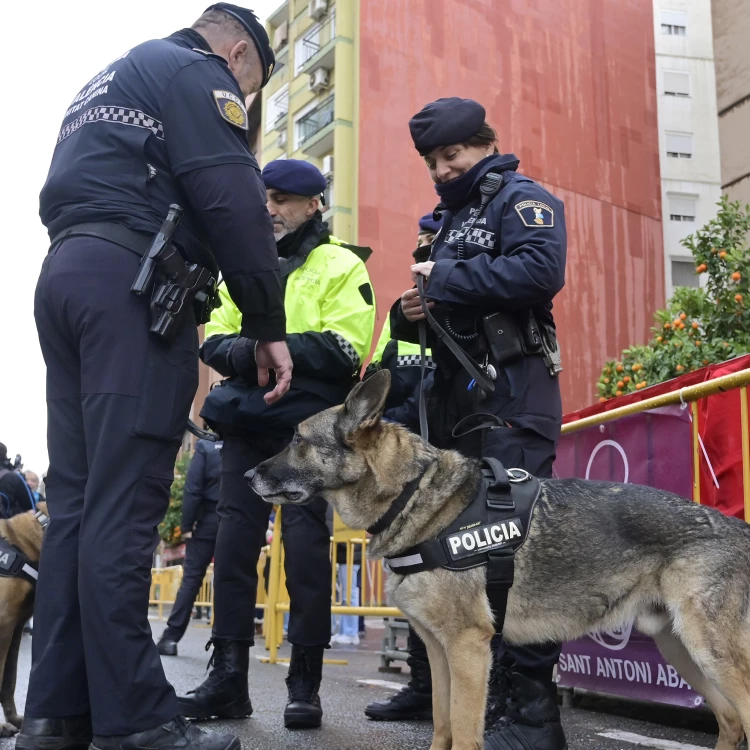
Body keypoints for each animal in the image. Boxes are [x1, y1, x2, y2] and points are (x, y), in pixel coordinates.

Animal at [250, 374, 750, 750]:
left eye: (297, 439)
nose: (247, 473)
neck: (411, 493)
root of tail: (737, 527)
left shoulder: (469, 648)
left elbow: (464, 733)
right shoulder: (439, 651)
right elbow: (442, 725)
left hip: (709, 651)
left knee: (740, 714)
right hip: (682, 650)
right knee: (730, 721)